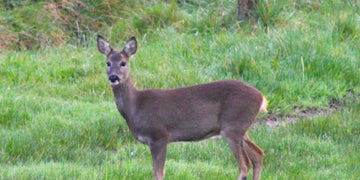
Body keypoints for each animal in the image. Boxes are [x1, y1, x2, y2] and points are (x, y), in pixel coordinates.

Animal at [95, 35, 268, 179]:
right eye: (107, 63)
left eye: (123, 63)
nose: (113, 77)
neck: (136, 107)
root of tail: (261, 98)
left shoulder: (159, 136)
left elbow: (159, 173)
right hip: (240, 128)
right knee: (258, 154)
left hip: (232, 127)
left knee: (244, 164)